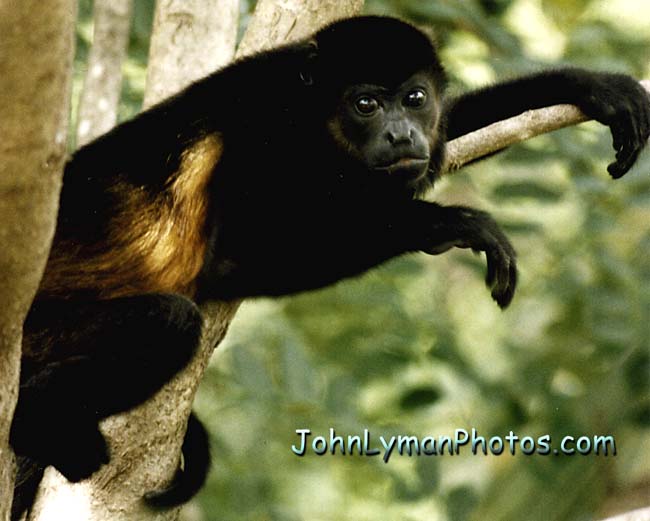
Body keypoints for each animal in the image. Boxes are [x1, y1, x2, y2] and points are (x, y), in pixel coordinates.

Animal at [10, 15, 649, 519]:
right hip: (37, 335)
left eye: (415, 98)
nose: (402, 133)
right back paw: (39, 418)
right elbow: (232, 260)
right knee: (169, 320)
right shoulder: (261, 138)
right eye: (366, 103)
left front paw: (585, 84)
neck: (311, 115)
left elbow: (447, 139)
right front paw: (447, 223)